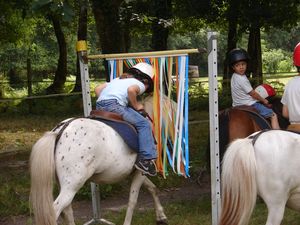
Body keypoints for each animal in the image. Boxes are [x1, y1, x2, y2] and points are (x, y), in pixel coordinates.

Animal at [30, 95, 169, 225]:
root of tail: (59, 131)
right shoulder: (140, 172)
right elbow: (133, 201)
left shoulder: (136, 172)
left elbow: (152, 188)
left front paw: (161, 216)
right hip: (72, 186)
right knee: (55, 211)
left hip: (64, 185)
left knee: (67, 211)